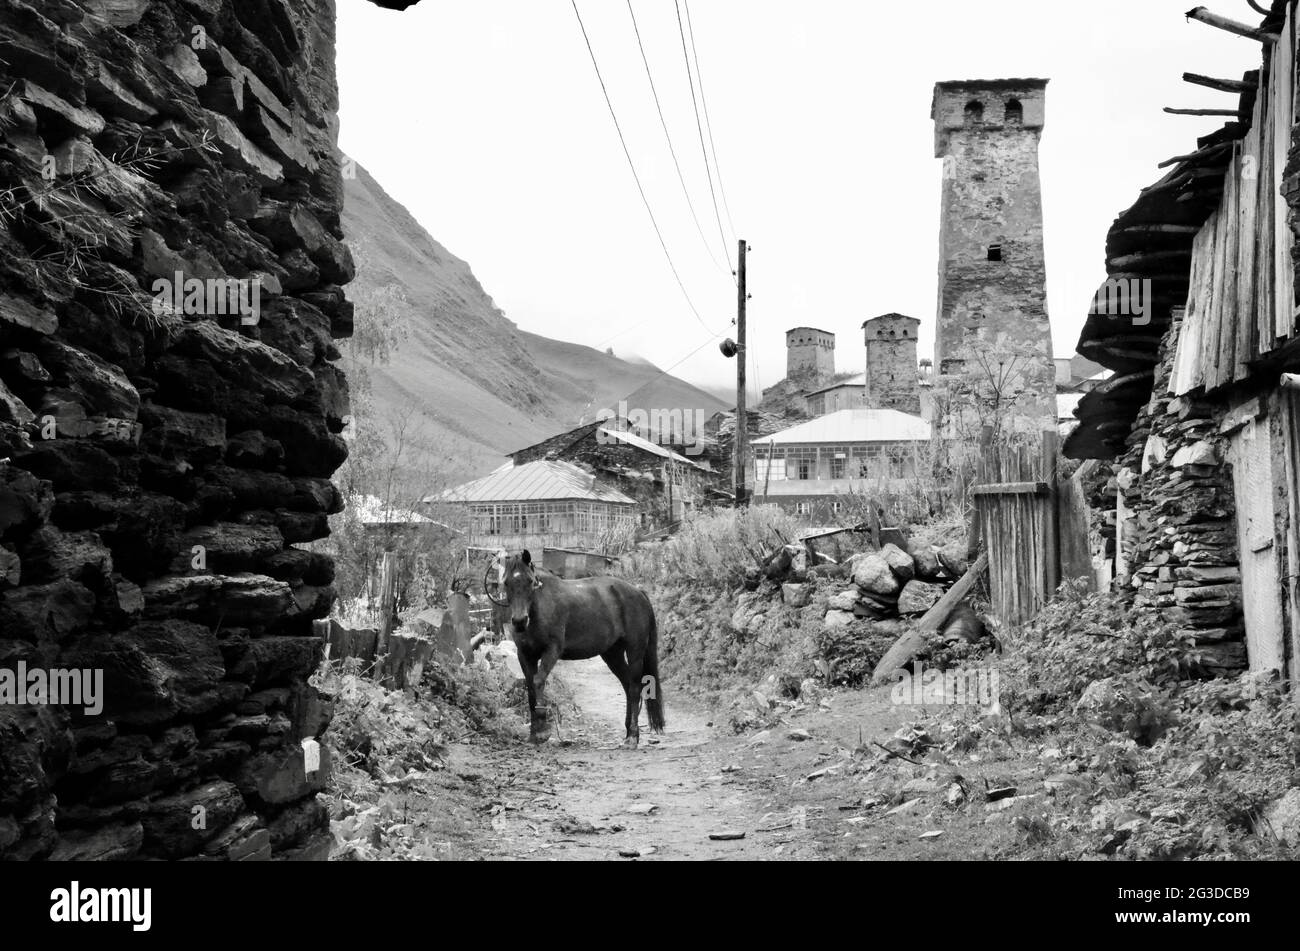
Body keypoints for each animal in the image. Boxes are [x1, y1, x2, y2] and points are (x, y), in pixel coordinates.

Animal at [488, 550, 670, 748]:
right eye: (506, 582)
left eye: (530, 581)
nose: (520, 621)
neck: (540, 608)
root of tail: (638, 593)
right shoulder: (525, 655)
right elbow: (530, 689)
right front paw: (534, 734)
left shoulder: (552, 651)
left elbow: (538, 681)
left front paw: (543, 728)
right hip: (612, 654)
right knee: (627, 685)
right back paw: (629, 731)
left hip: (635, 651)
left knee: (635, 687)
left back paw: (633, 737)